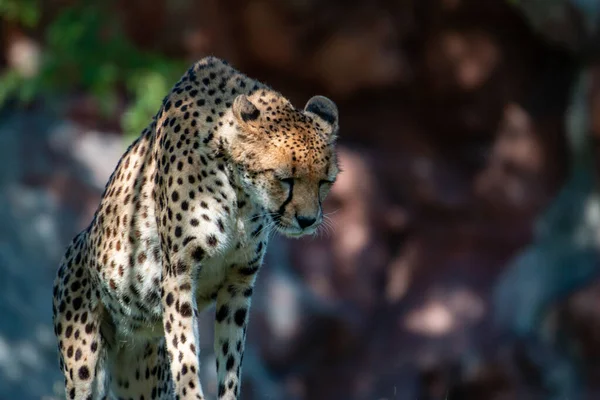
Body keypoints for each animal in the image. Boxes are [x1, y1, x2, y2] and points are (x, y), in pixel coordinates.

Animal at [52, 56, 340, 400]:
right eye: (284, 178)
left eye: (325, 181)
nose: (308, 220)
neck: (240, 192)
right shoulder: (178, 273)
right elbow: (185, 353)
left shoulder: (239, 281)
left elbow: (231, 359)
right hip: (86, 368)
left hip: (142, 377)